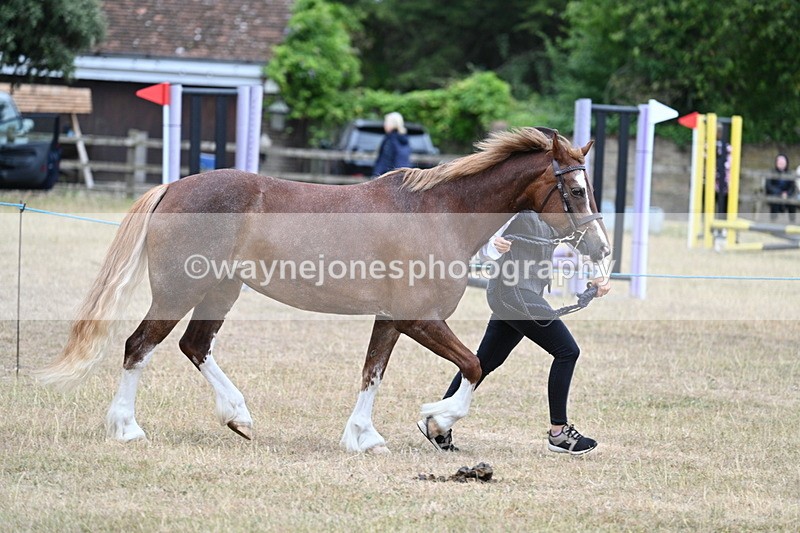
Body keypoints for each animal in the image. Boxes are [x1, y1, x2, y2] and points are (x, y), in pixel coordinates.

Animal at [35, 127, 610, 453]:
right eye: (576, 188)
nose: (601, 248)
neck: (438, 213)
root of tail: (174, 187)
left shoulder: (392, 319)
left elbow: (373, 373)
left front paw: (364, 438)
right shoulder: (419, 318)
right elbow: (472, 365)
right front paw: (437, 421)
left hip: (221, 291)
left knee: (193, 346)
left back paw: (238, 417)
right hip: (179, 292)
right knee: (139, 346)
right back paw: (127, 429)